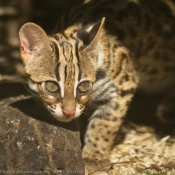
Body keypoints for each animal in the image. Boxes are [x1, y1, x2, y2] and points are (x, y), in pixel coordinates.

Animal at [18, 0, 175, 172]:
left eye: (83, 86)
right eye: (52, 87)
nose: (69, 112)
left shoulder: (124, 86)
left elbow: (106, 123)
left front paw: (93, 156)